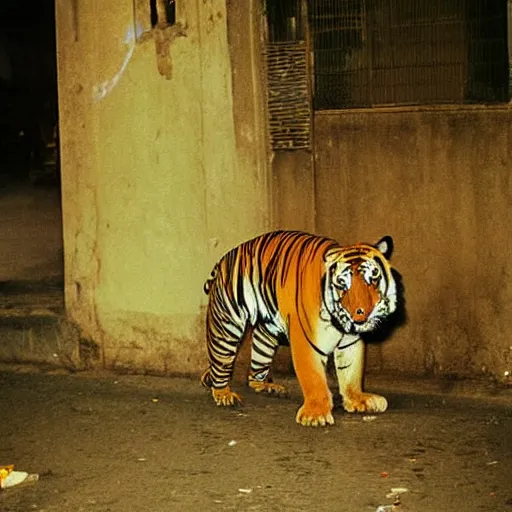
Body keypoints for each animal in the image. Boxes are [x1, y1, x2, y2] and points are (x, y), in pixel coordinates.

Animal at [200, 230, 400, 426]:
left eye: (373, 277)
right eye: (342, 283)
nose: (363, 313)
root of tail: (225, 257)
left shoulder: (351, 342)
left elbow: (352, 373)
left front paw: (358, 399)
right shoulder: (306, 341)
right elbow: (313, 377)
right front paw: (316, 414)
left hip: (267, 334)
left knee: (255, 370)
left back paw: (268, 387)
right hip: (228, 326)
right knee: (221, 362)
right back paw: (224, 395)